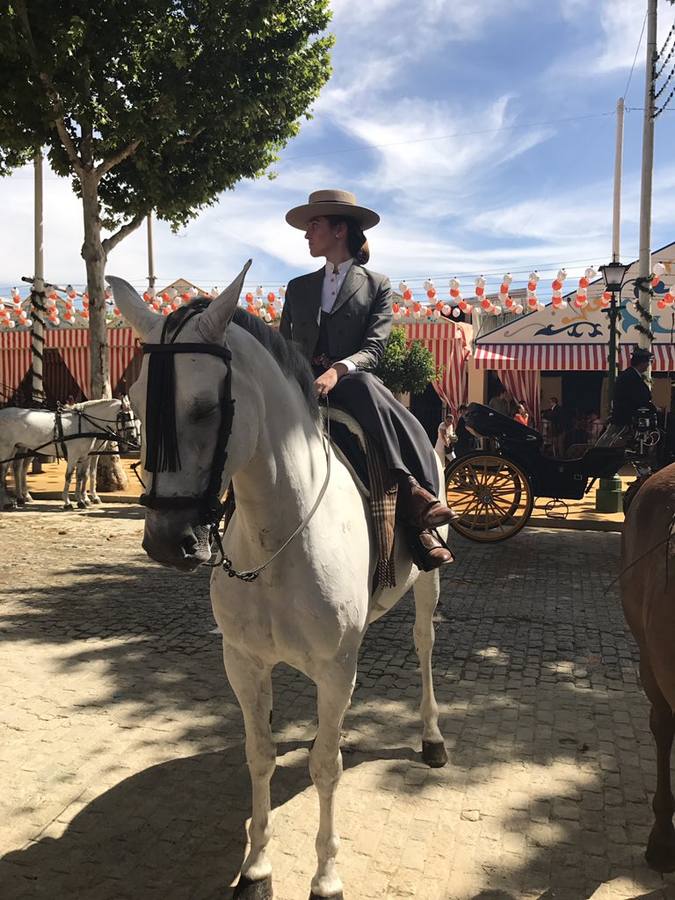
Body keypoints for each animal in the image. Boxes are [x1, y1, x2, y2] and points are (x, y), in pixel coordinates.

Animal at [0, 398, 136, 510]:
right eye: (125, 416)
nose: (133, 437)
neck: (84, 424)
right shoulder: (74, 455)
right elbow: (70, 476)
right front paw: (68, 502)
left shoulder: (84, 456)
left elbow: (82, 476)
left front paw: (82, 501)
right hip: (8, 449)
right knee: (5, 472)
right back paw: (8, 502)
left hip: (20, 448)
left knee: (17, 468)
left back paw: (21, 498)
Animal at [108, 266, 452, 900]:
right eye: (139, 404)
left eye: (204, 408)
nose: (167, 542)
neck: (279, 539)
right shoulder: (244, 662)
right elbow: (260, 754)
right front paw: (257, 867)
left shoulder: (335, 667)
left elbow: (325, 767)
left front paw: (326, 877)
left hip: (428, 583)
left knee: (423, 647)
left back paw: (432, 736)